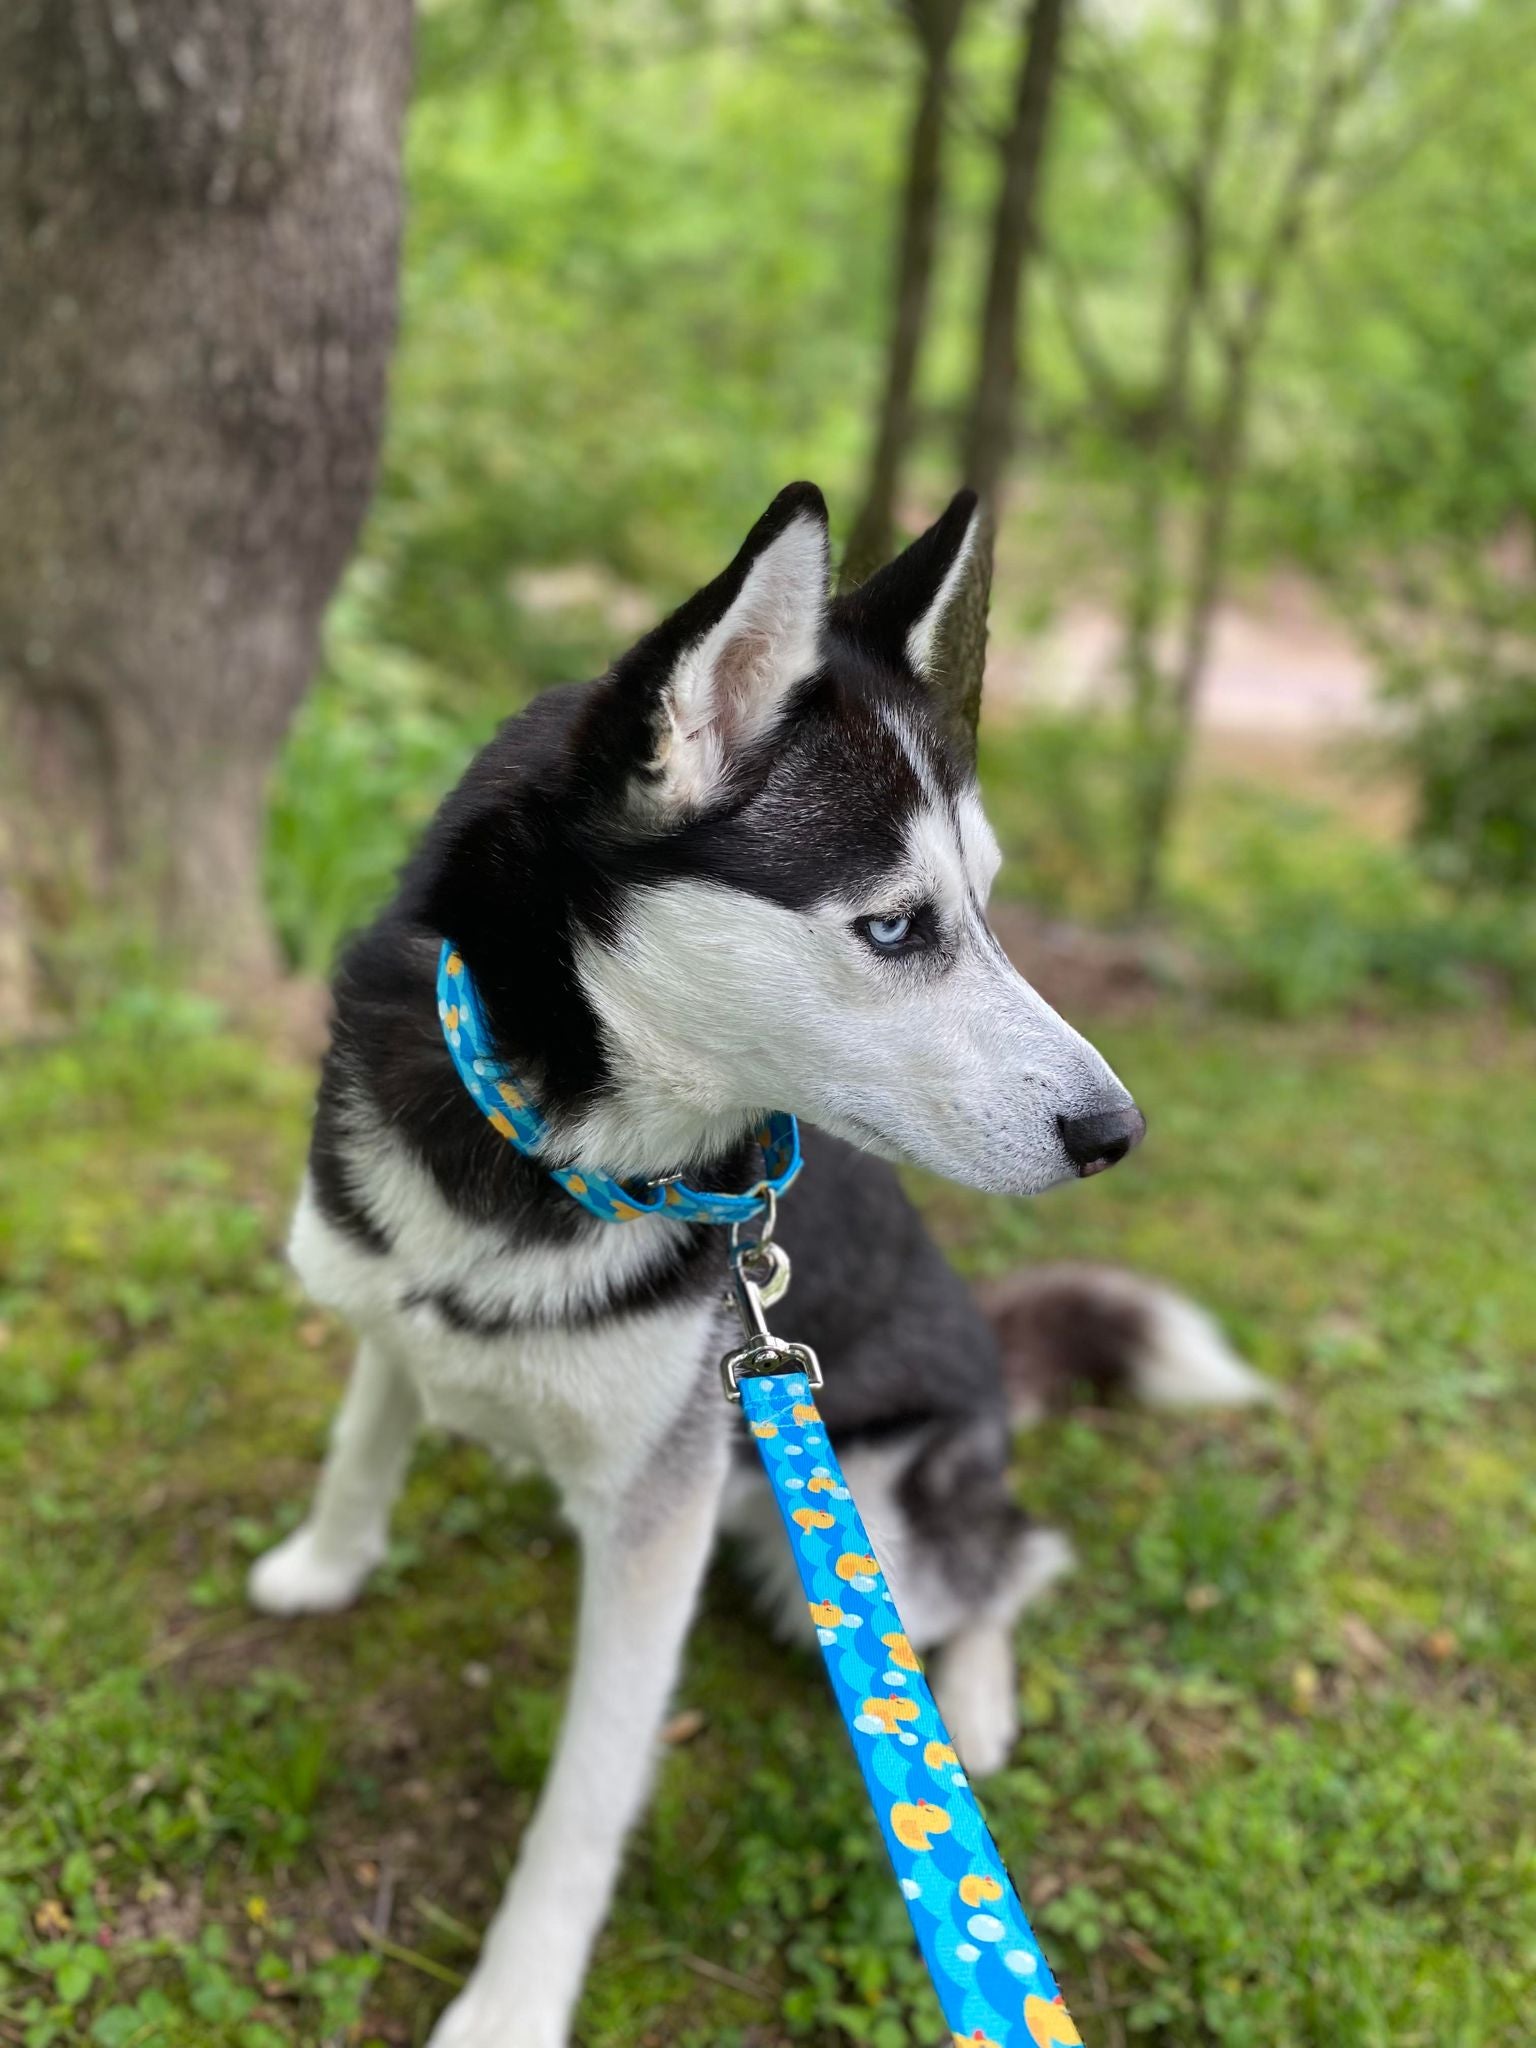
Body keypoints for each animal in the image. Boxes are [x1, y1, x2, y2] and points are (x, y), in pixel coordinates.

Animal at [249, 487, 1261, 2039]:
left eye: (990, 905)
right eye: (898, 925)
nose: (1117, 1132)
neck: (540, 1150)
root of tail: (987, 1358)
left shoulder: (654, 1529)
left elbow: (586, 1796)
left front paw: (514, 1998)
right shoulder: (392, 1311)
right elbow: (368, 1432)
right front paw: (326, 1560)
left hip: (867, 1527)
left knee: (1017, 1553)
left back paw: (972, 1699)